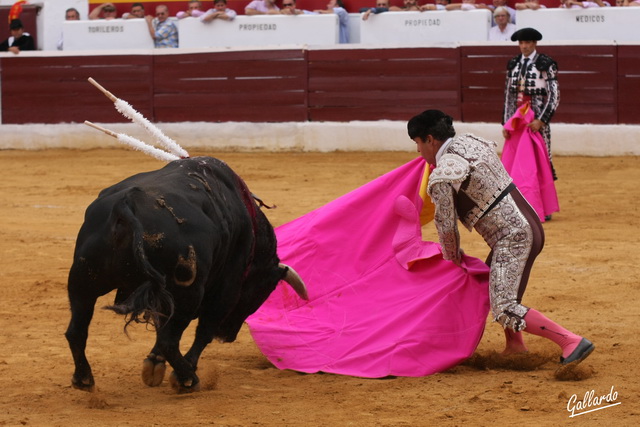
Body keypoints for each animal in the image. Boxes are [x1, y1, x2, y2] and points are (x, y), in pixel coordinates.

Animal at [65, 155, 308, 392]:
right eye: (262, 291)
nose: (227, 336)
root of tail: (125, 206)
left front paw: (154, 363)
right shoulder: (227, 288)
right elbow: (204, 330)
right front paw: (182, 367)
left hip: (82, 281)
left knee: (76, 330)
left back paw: (83, 378)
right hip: (187, 292)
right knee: (170, 339)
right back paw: (187, 379)